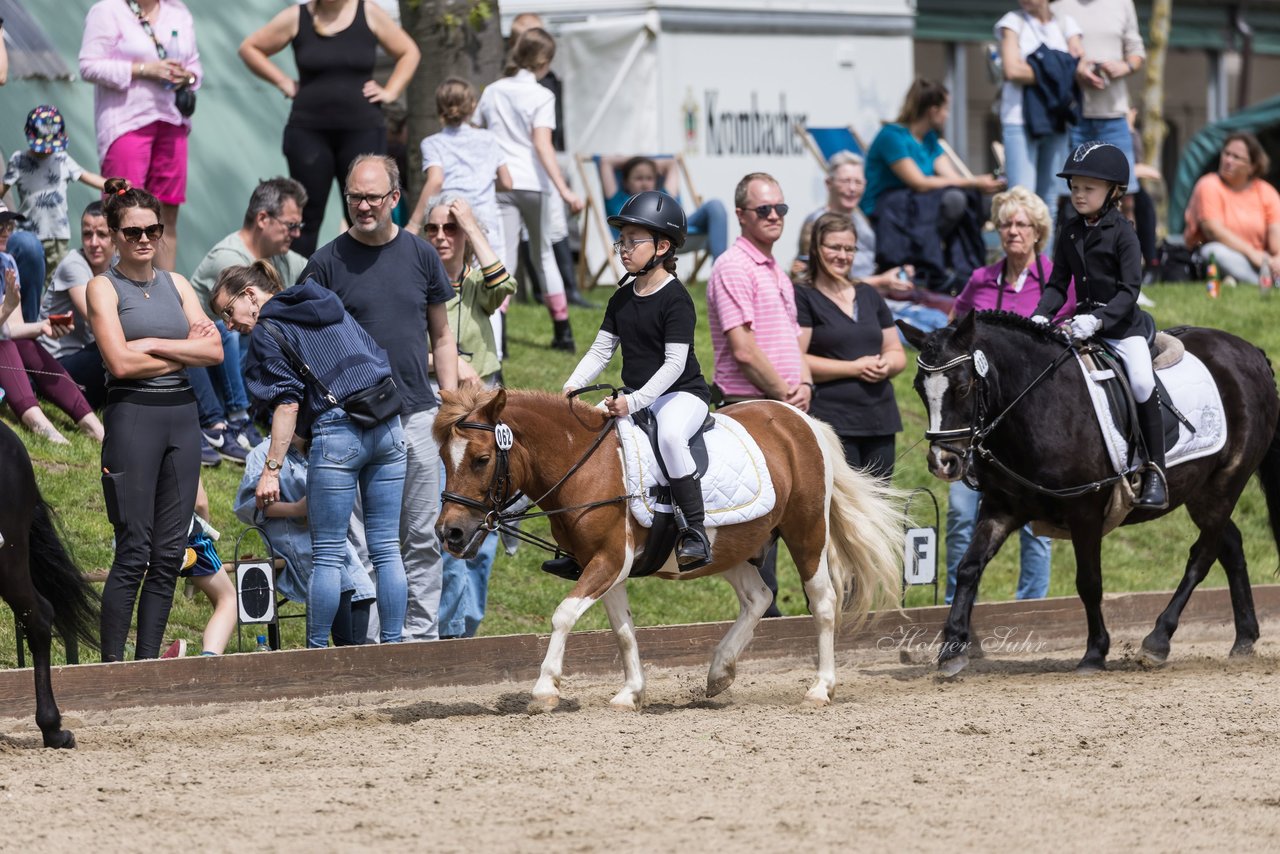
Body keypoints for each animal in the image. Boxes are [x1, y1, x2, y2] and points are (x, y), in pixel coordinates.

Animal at [432, 384, 901, 711]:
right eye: (442, 459)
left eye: (480, 459)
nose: (449, 533)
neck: (586, 465)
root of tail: (799, 419)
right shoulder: (604, 565)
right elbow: (622, 629)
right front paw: (630, 693)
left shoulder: (608, 561)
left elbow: (564, 614)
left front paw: (545, 689)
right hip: (728, 546)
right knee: (758, 596)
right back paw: (719, 672)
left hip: (806, 532)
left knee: (823, 603)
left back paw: (820, 688)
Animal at [901, 311, 1280, 676]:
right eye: (919, 387)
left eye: (963, 387)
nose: (943, 462)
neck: (1034, 403)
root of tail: (1250, 351)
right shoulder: (1001, 508)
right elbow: (969, 567)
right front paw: (951, 652)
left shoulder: (1085, 510)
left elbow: (1089, 582)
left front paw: (1095, 653)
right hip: (1200, 493)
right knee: (1229, 545)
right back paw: (1244, 639)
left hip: (1224, 484)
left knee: (1202, 555)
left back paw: (1157, 641)